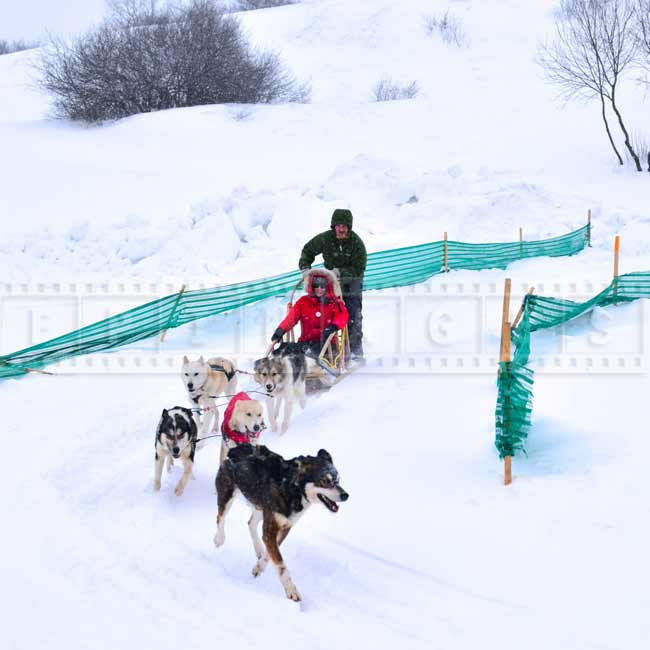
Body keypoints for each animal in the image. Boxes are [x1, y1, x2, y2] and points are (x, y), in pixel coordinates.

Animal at [213, 442, 346, 600]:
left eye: (338, 480)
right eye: (325, 481)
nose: (346, 495)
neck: (291, 488)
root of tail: (236, 449)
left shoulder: (284, 528)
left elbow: (270, 555)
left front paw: (259, 567)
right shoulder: (271, 529)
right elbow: (281, 565)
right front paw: (291, 591)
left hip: (260, 507)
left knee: (251, 523)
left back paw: (258, 548)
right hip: (227, 496)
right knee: (220, 517)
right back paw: (219, 538)